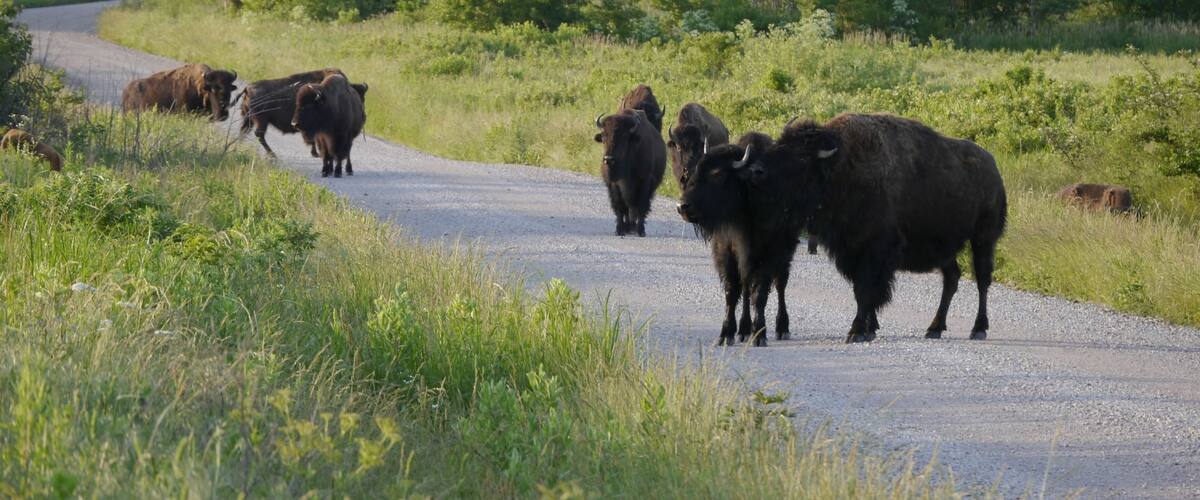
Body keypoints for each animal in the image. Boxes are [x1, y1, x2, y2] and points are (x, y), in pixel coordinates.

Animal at [238, 68, 368, 158]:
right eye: (360, 98)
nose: (363, 117)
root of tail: (248, 88)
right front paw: (316, 153)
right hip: (261, 121)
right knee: (259, 134)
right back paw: (272, 154)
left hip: (249, 119)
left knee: (245, 130)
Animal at [676, 132, 803, 347]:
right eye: (695, 170)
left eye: (717, 174)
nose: (682, 206)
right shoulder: (726, 252)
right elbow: (732, 292)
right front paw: (725, 334)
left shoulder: (768, 255)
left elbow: (759, 295)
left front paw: (759, 335)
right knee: (745, 288)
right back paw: (743, 330)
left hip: (785, 255)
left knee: (780, 285)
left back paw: (781, 328)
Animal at [742, 113, 1007, 343]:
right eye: (779, 144)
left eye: (801, 158)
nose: (757, 171)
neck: (842, 167)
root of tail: (994, 168)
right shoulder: (851, 251)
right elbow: (863, 292)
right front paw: (869, 329)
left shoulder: (874, 251)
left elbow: (865, 290)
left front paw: (856, 332)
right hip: (946, 249)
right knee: (951, 278)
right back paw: (934, 328)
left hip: (983, 239)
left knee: (982, 280)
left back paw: (978, 329)